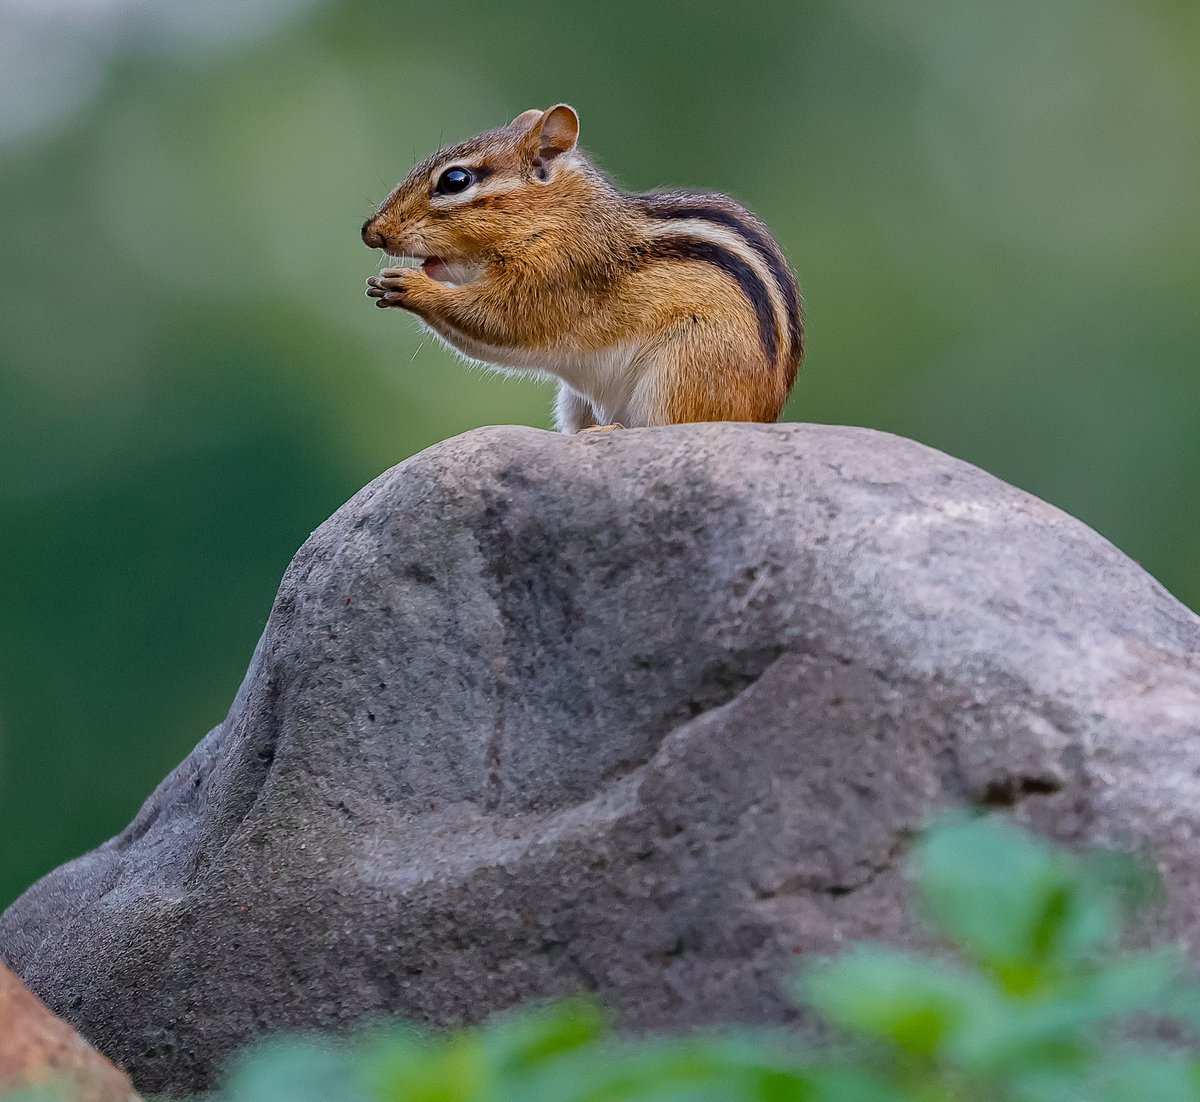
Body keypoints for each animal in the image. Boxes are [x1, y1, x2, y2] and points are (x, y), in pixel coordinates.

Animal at [363, 105, 803, 433]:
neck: (559, 218)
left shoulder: (557, 276)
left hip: (684, 368)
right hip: (575, 401)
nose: (370, 232)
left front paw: (410, 287)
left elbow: (500, 321)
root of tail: (763, 417)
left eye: (455, 180)